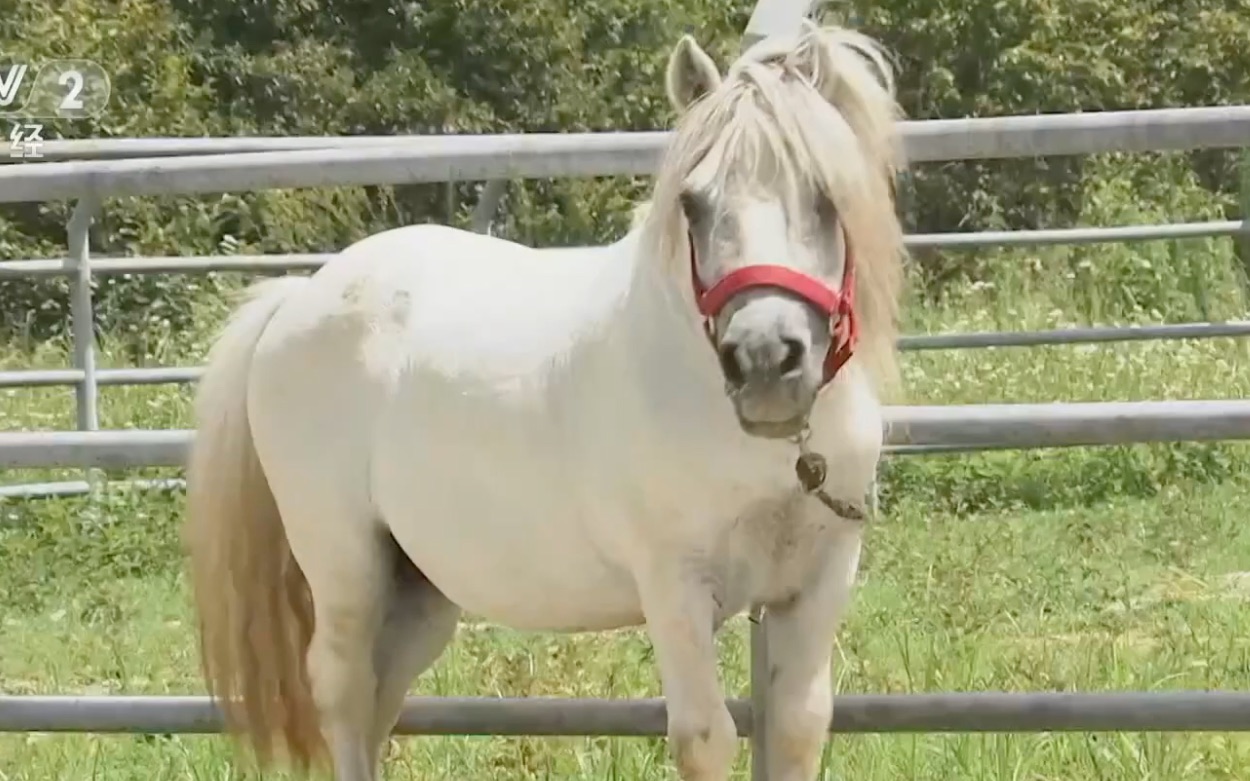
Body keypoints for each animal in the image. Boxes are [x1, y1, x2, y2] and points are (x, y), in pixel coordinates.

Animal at [185, 19, 905, 779]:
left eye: (826, 196)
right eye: (693, 203)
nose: (766, 359)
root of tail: (299, 296)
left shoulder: (816, 584)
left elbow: (798, 726)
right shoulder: (674, 588)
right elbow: (705, 736)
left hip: (419, 591)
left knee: (381, 699)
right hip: (345, 568)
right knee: (344, 695)